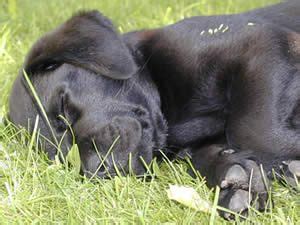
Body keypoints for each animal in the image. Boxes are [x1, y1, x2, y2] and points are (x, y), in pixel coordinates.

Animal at [7, 0, 300, 218]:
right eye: (64, 160)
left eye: (63, 108)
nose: (100, 172)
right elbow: (205, 157)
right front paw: (237, 179)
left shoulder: (259, 45)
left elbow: (251, 129)